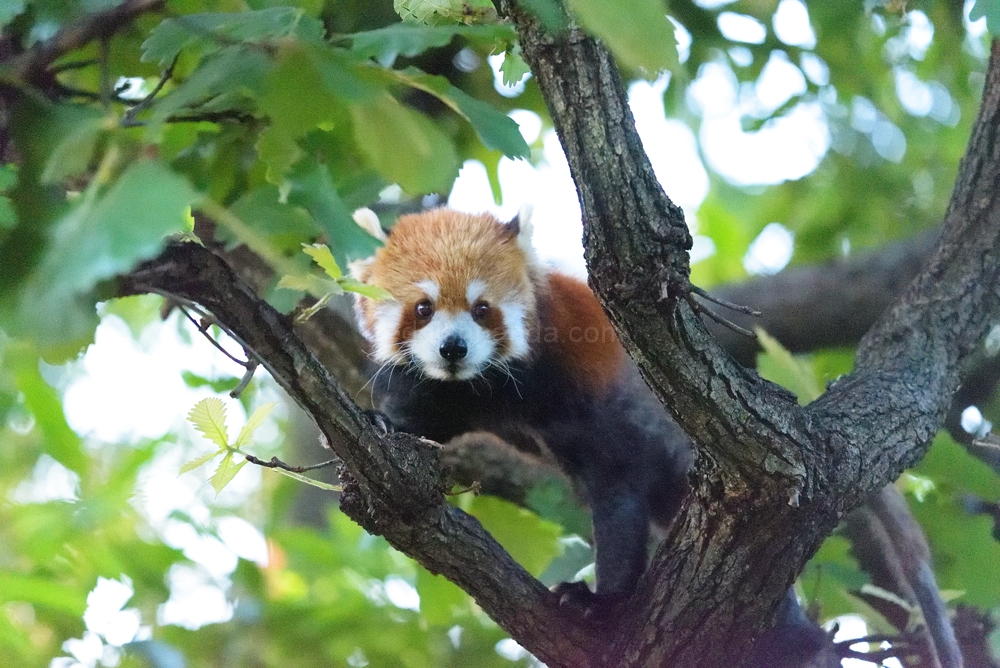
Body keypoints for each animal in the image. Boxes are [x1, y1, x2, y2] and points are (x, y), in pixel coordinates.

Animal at [348, 206, 692, 608]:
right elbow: (426, 421)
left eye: (482, 309)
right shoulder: (449, 394)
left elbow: (618, 487)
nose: (453, 348)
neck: (494, 387)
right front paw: (385, 423)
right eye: (423, 308)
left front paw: (604, 603)